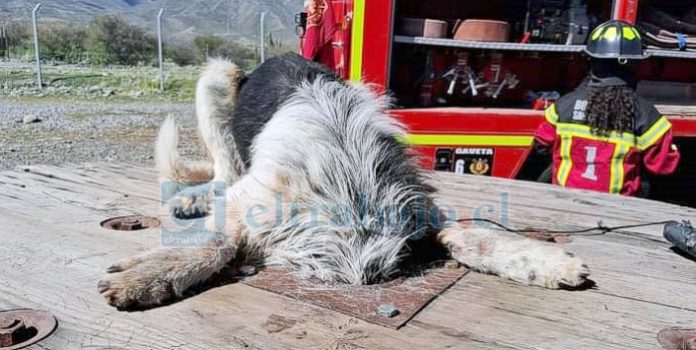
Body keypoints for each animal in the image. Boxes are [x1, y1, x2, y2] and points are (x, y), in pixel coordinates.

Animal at [98, 52, 588, 308]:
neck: (349, 180)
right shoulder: (252, 199)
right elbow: (216, 241)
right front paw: (152, 273)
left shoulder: (416, 207)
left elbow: (472, 235)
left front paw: (542, 260)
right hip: (220, 76)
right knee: (223, 171)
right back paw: (194, 199)